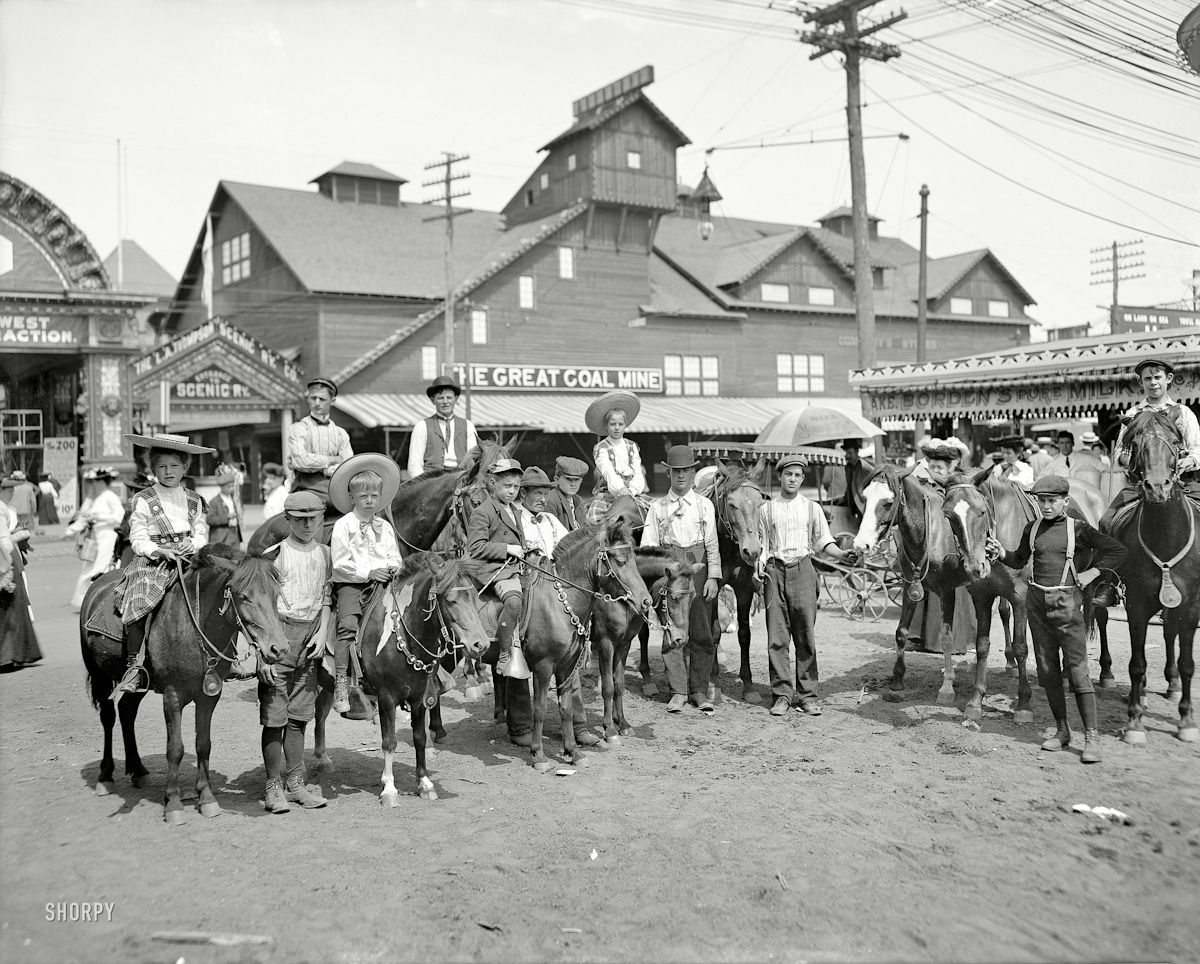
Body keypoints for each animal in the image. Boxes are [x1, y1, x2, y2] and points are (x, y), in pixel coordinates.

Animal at [80, 547, 290, 825]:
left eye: (276, 594)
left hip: (141, 685)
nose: (279, 648)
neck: (194, 628)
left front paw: (207, 798)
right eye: (243, 596)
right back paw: (105, 776)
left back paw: (138, 770)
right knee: (108, 717)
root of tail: (98, 585)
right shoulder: (172, 695)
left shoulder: (209, 695)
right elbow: (175, 748)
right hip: (100, 676)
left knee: (126, 712)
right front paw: (173, 803)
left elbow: (203, 743)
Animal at [590, 547, 700, 744]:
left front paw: (622, 724)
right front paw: (609, 729)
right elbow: (608, 687)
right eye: (673, 597)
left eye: (693, 596)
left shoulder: (623, 644)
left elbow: (619, 684)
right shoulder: (606, 643)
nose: (681, 639)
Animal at [1104, 408, 1200, 744]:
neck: (1166, 536)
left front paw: (1186, 721)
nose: (1157, 487)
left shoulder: (1191, 605)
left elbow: (1187, 663)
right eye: (1135, 443)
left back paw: (1171, 686)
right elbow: (1137, 664)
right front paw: (1134, 722)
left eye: (1175, 442)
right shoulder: (1136, 603)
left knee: (1170, 632)